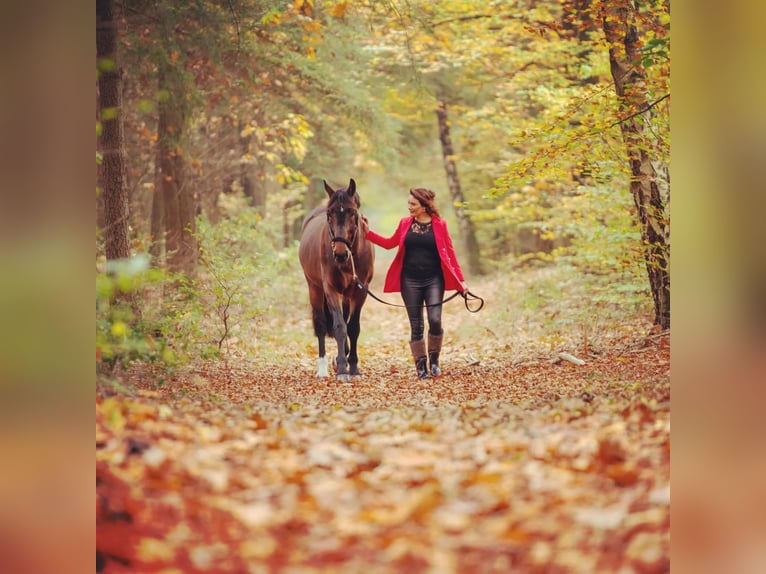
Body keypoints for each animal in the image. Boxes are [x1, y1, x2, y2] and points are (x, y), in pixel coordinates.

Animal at [296, 178, 376, 384]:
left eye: (352, 212)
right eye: (329, 214)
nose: (339, 254)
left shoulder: (360, 291)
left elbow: (353, 327)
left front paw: (353, 367)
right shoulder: (330, 289)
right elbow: (339, 327)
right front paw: (341, 369)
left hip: (346, 295)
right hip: (314, 288)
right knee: (321, 324)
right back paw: (323, 368)